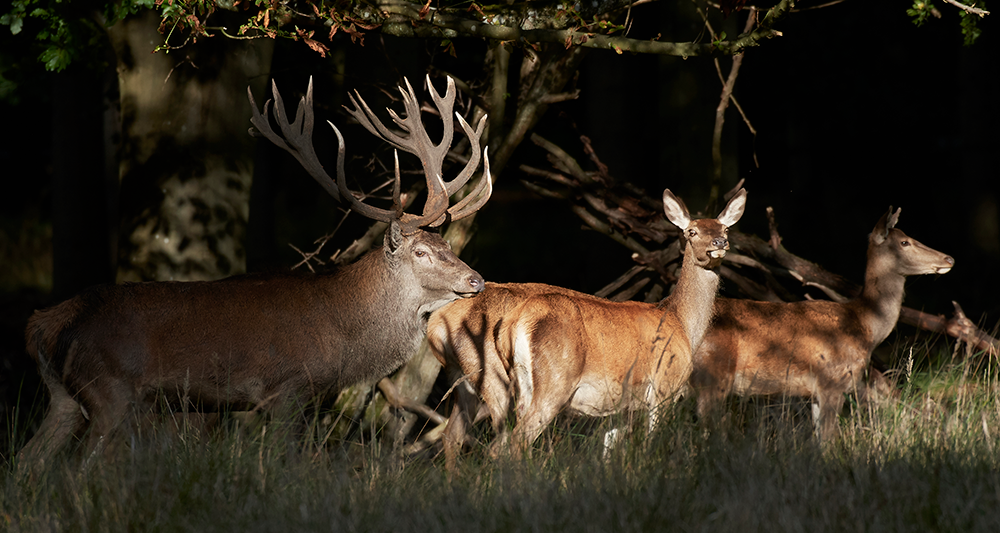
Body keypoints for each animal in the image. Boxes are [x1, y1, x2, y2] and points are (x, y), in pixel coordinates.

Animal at [17, 75, 493, 469]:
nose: (476, 280)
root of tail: (43, 323)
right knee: (76, 470)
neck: (341, 335)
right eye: (421, 251)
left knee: (27, 464)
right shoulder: (288, 390)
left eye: (449, 246)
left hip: (62, 398)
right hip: (110, 391)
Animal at [428, 188, 747, 470]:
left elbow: (610, 457)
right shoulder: (664, 389)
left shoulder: (619, 409)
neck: (681, 323)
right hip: (546, 382)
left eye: (726, 229)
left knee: (455, 436)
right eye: (691, 231)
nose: (719, 242)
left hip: (473, 382)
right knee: (508, 445)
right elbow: (650, 448)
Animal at [690, 207, 954, 440]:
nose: (949, 258)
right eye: (904, 242)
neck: (866, 325)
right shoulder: (832, 381)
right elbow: (828, 441)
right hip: (713, 375)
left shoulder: (816, 393)